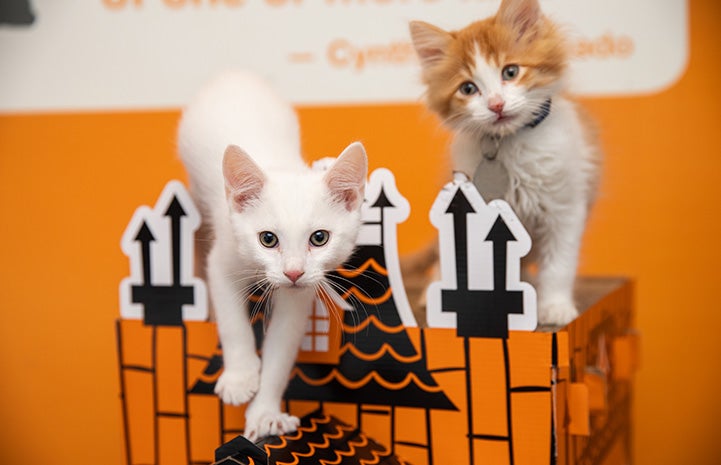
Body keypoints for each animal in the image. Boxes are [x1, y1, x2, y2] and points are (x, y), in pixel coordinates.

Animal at [174, 71, 366, 438]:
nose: (293, 272)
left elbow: (281, 348)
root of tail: (233, 72)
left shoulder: (300, 294)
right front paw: (240, 377)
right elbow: (232, 322)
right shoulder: (223, 258)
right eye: (267, 239)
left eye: (319, 238)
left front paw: (264, 414)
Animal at [408, 0, 600, 326]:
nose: (496, 104)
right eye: (468, 89)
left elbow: (558, 264)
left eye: (510, 72)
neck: (509, 143)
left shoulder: (564, 206)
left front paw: (555, 306)